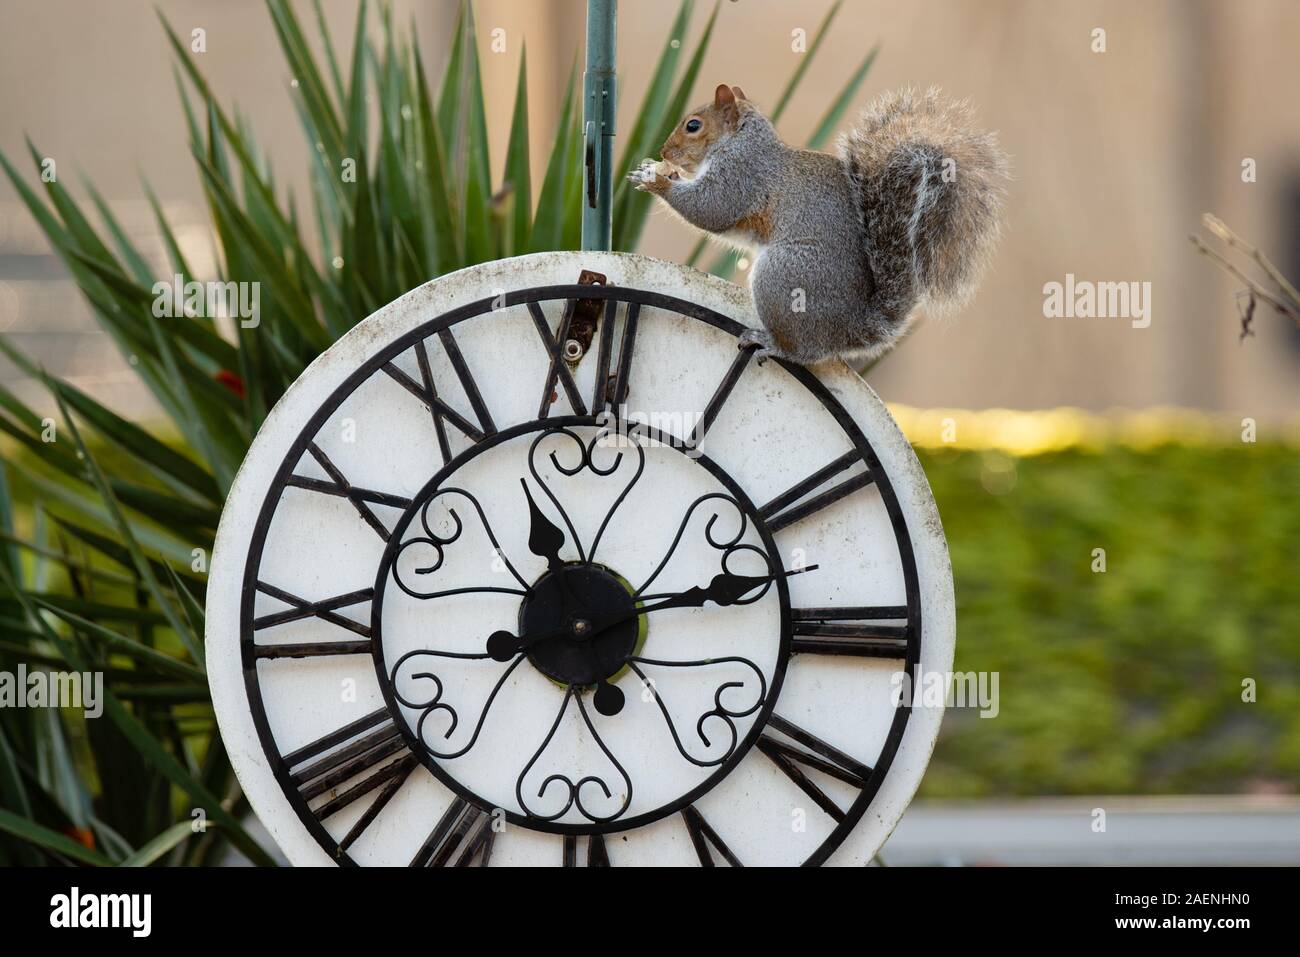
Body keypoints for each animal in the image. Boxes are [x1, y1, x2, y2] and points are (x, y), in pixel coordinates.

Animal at [628, 84, 1009, 366]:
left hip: (783, 277)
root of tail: (850, 329)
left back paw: (770, 343)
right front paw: (658, 172)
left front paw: (657, 180)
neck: (741, 142)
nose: (664, 152)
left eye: (693, 125)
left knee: (803, 353)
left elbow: (711, 209)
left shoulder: (741, 176)